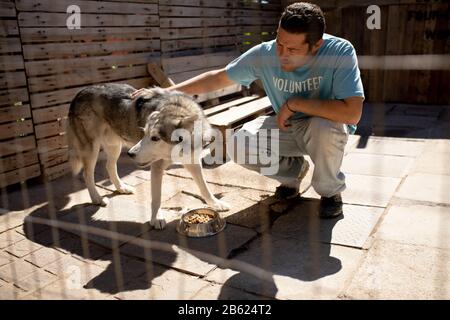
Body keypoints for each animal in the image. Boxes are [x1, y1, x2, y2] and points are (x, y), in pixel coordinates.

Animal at [65, 81, 230, 229]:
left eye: (155, 138)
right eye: (144, 133)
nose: (130, 154)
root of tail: (79, 92)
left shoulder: (192, 162)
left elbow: (204, 187)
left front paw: (216, 204)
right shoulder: (157, 167)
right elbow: (156, 197)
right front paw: (156, 218)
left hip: (114, 147)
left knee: (109, 166)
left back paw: (121, 188)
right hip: (92, 149)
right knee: (87, 174)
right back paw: (97, 198)